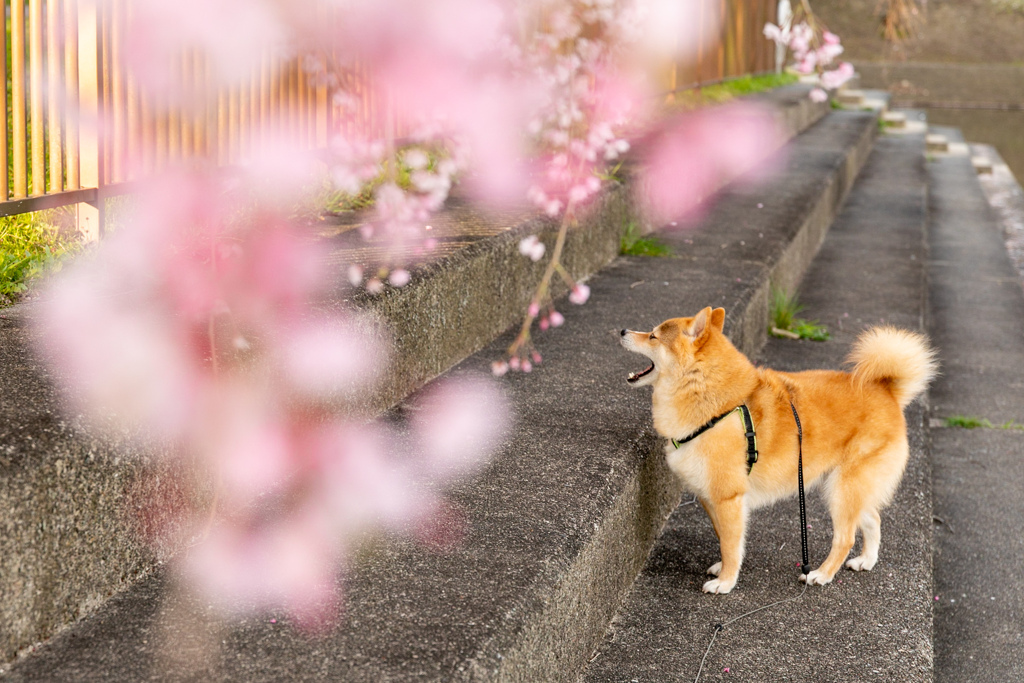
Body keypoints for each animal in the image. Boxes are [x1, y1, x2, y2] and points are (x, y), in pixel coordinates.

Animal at [618, 309, 937, 593]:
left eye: (652, 336)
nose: (622, 330)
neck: (716, 402)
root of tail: (886, 389)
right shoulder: (711, 498)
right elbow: (726, 539)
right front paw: (724, 569)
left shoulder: (727, 497)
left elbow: (730, 544)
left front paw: (725, 582)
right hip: (850, 487)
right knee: (872, 519)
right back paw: (866, 561)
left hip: (843, 489)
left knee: (845, 537)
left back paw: (822, 574)